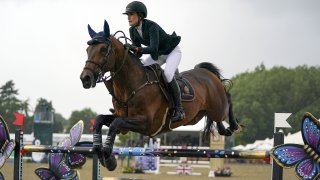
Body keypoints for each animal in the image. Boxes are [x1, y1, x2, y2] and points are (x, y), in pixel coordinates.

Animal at [80, 20, 242, 171]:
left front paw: (108, 157)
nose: (85, 78)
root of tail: (207, 73)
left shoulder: (146, 123)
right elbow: (100, 120)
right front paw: (100, 152)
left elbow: (115, 124)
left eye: (103, 49)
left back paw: (234, 125)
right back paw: (224, 129)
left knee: (228, 99)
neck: (132, 85)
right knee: (216, 118)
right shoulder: (123, 121)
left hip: (218, 105)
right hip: (198, 115)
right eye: (87, 49)